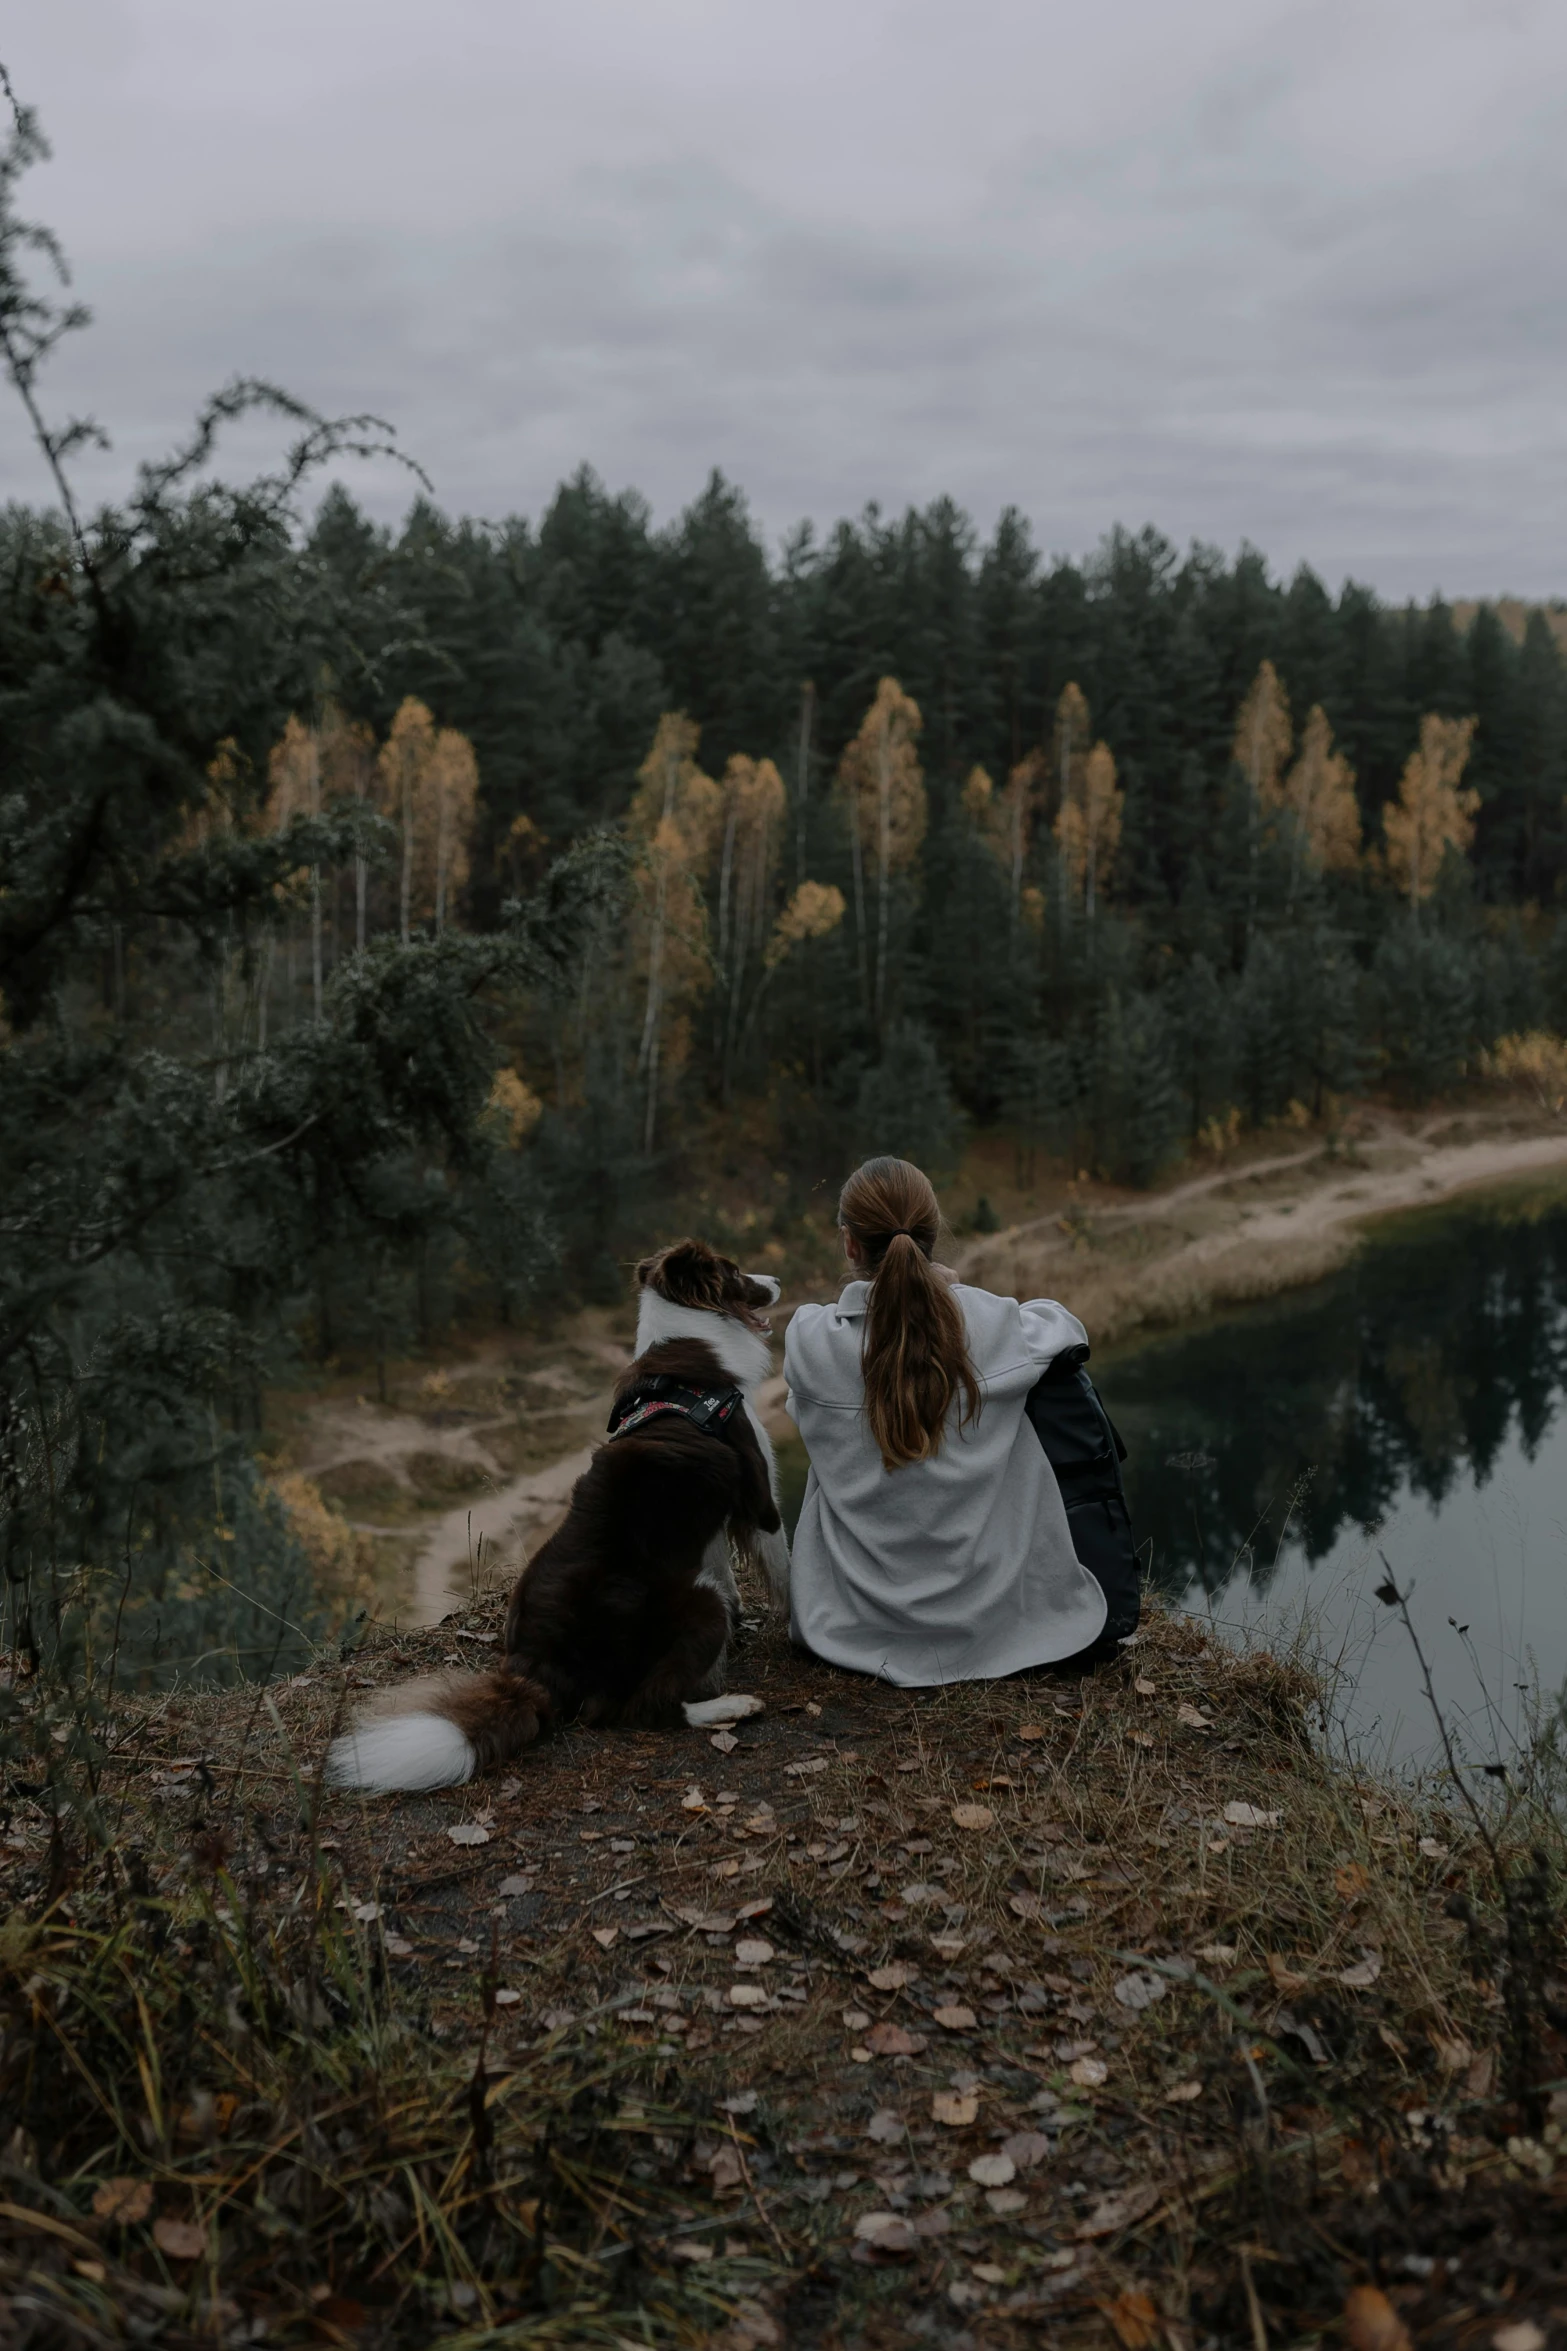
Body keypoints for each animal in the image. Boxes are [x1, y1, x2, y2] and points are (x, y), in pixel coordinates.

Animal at [324, 1241, 789, 1786]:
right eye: (734, 1272)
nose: (777, 1281)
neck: (688, 1369)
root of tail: (536, 1668)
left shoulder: (707, 1529)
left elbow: (725, 1568)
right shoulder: (759, 1498)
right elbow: (784, 1564)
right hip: (696, 1604)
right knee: (644, 1709)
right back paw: (731, 1706)